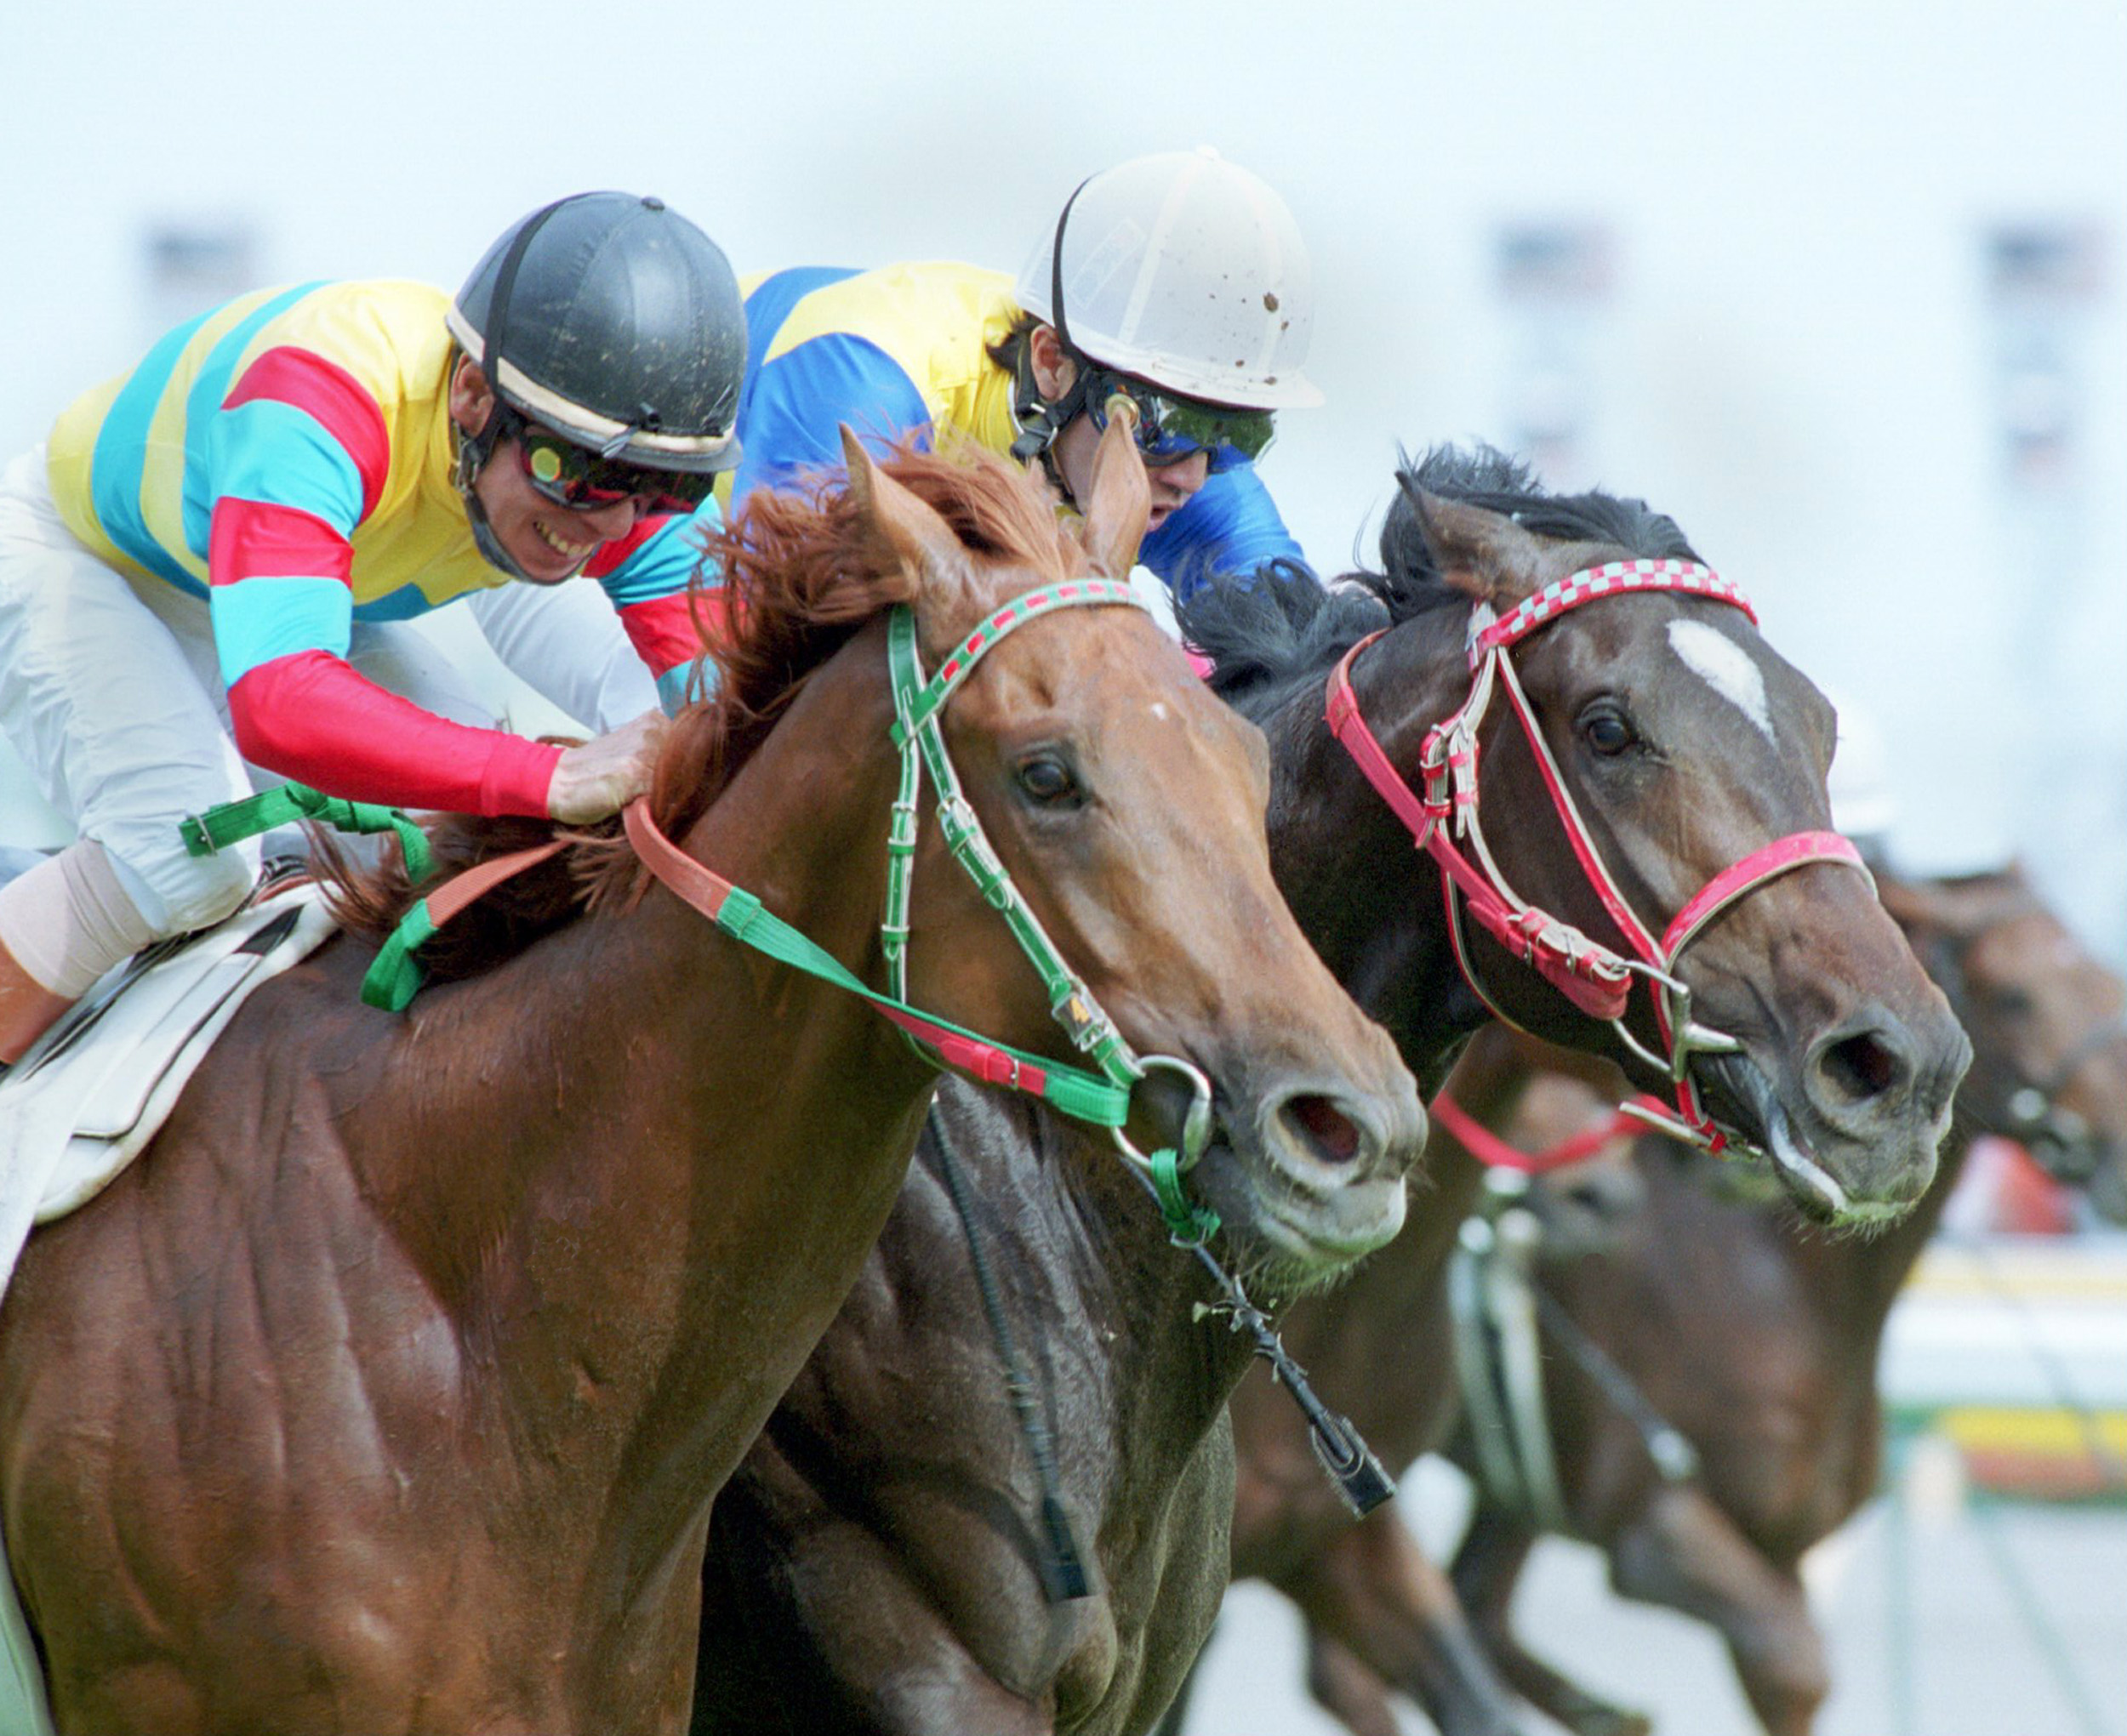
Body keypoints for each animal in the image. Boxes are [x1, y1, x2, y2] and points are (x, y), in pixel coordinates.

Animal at [1213, 864, 2122, 1736]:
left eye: (2100, 978)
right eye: (2015, 995)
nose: (2115, 1145)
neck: (1779, 1283)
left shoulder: (1781, 1543)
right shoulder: (1650, 1517)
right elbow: (1792, 1659)